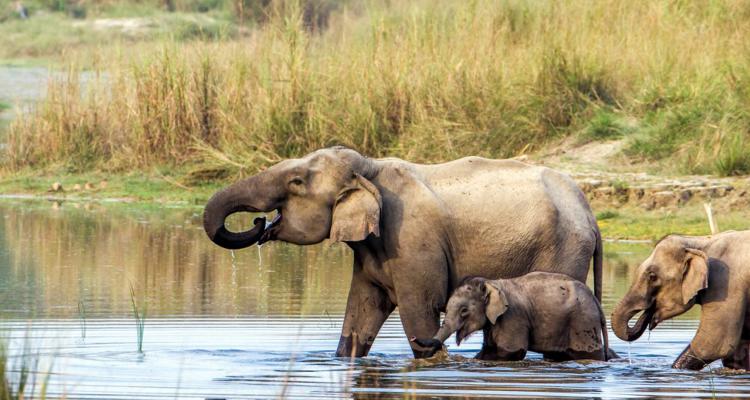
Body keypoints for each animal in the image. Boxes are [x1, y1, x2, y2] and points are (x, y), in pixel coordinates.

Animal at [412, 274, 616, 360]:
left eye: (464, 311)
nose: (413, 337)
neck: (491, 282)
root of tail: (596, 301)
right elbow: (487, 351)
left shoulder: (513, 317)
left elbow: (511, 352)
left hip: (583, 324)